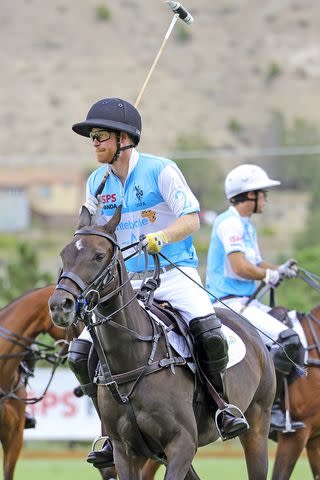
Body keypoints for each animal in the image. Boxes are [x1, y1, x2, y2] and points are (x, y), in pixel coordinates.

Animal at [48, 207, 276, 480]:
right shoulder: (125, 452)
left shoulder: (182, 442)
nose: (60, 305)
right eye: (64, 254)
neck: (133, 360)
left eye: (99, 255)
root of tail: (251, 328)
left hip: (258, 423)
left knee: (210, 336)